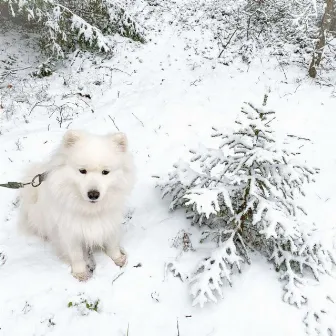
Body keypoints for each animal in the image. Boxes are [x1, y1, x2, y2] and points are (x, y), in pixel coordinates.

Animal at [18, 129, 135, 280]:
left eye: (105, 172)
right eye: (82, 171)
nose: (93, 194)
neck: (90, 210)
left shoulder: (109, 222)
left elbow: (112, 244)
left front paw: (118, 259)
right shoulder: (70, 232)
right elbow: (76, 255)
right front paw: (81, 273)